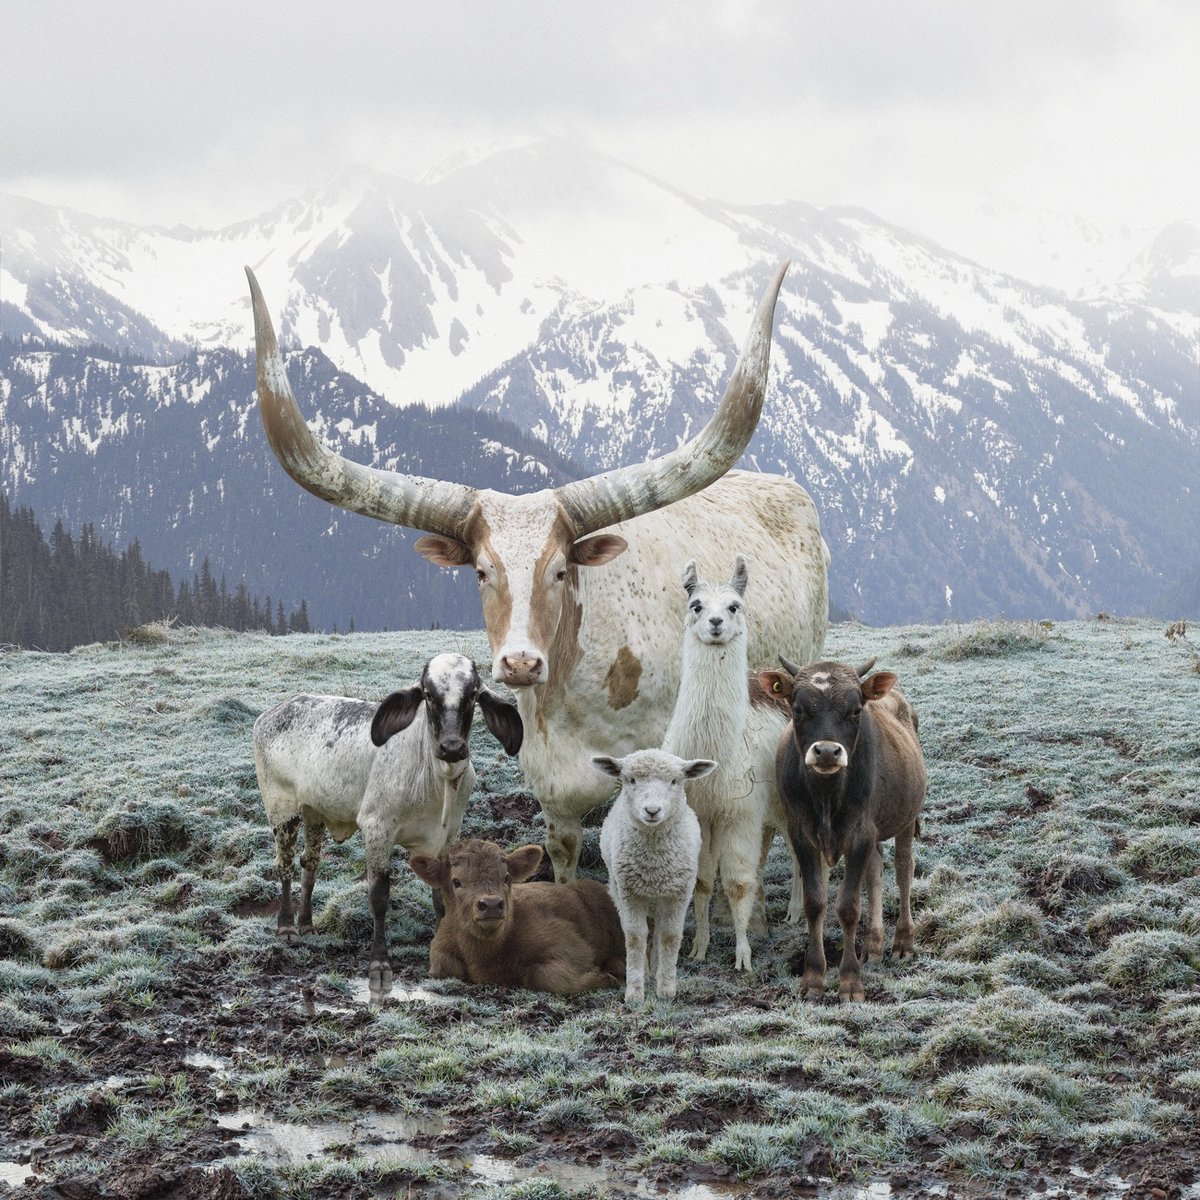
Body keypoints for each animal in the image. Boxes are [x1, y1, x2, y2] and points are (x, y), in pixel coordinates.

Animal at [243, 265, 825, 883]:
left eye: (562, 571)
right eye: (480, 571)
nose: (520, 663)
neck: (577, 691)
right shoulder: (552, 792)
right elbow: (564, 859)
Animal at [408, 835, 624, 993]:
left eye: (506, 877)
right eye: (456, 881)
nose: (491, 904)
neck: (483, 955)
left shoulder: (574, 946)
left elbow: (547, 976)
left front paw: (602, 977)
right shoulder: (440, 946)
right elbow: (443, 965)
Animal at [590, 748, 710, 1003]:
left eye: (675, 781)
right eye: (631, 780)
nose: (652, 811)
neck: (654, 863)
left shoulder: (679, 893)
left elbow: (669, 936)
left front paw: (666, 988)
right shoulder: (629, 892)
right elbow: (635, 937)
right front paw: (635, 991)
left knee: (658, 930)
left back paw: (655, 969)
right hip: (619, 889)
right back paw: (647, 971)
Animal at [662, 556, 801, 969]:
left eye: (734, 606)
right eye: (696, 605)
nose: (715, 623)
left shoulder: (739, 813)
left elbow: (738, 882)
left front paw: (743, 956)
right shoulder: (703, 813)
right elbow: (704, 881)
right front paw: (699, 947)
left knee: (799, 852)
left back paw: (796, 913)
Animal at [758, 662, 926, 998]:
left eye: (855, 710)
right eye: (798, 709)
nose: (826, 752)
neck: (827, 795)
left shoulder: (859, 835)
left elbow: (848, 907)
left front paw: (849, 982)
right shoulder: (802, 835)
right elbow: (815, 903)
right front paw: (813, 978)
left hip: (905, 818)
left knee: (904, 869)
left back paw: (902, 942)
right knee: (875, 871)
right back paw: (873, 946)